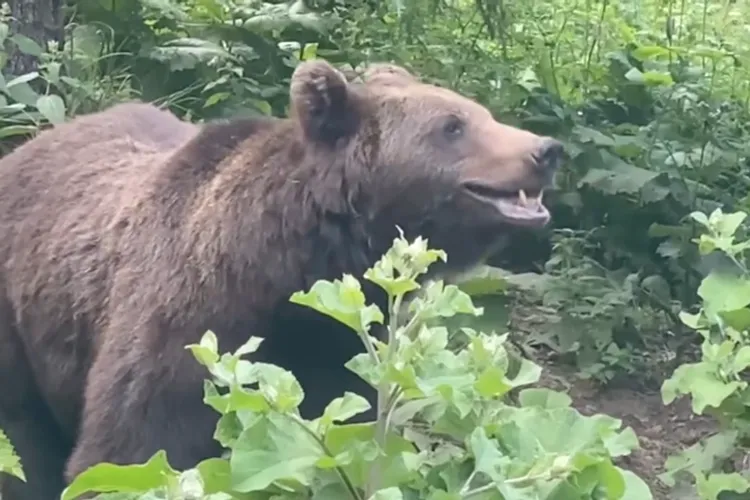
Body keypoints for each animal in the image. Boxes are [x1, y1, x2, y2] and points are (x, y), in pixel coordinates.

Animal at [0, 57, 560, 496]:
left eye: (480, 112)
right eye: (452, 125)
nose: (545, 151)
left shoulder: (337, 346)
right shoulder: (181, 327)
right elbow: (128, 452)